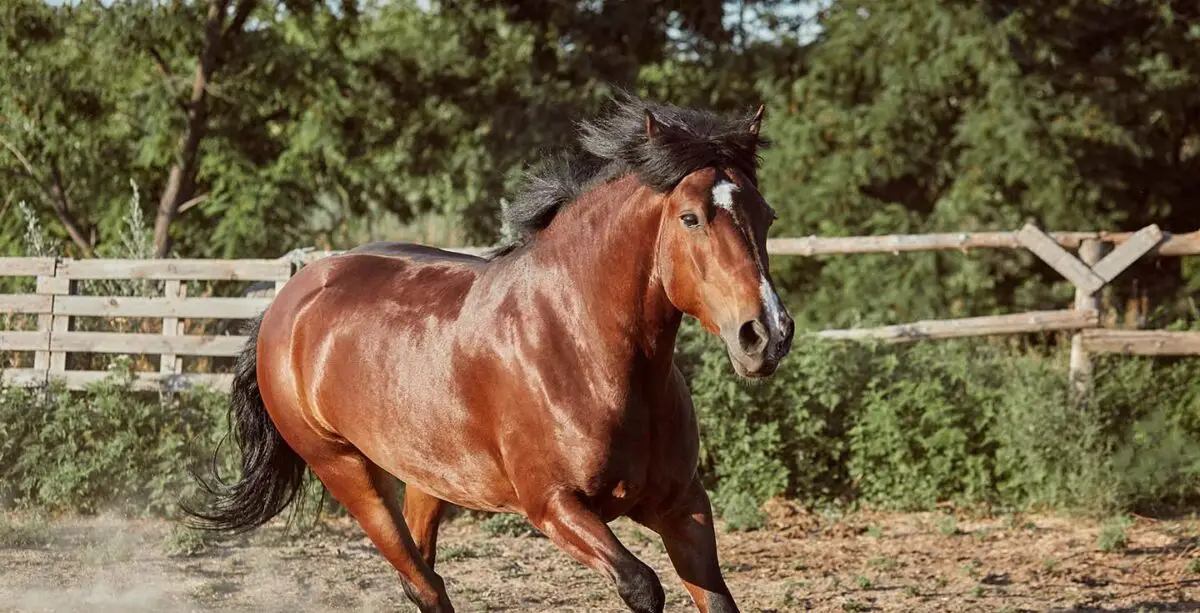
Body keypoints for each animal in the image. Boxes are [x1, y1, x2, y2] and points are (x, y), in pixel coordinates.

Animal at [185, 95, 795, 613]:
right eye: (691, 217)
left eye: (766, 214)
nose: (766, 334)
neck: (582, 347)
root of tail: (288, 300)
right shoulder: (553, 506)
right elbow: (642, 585)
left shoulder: (682, 506)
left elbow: (717, 599)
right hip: (346, 471)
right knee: (422, 582)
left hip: (427, 476)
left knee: (423, 578)